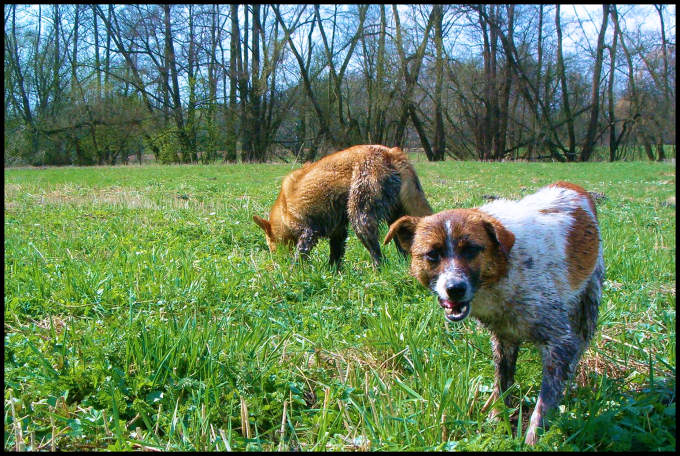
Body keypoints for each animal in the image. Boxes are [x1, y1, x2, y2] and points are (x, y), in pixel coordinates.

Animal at [252, 145, 432, 268]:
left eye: (271, 247)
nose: (276, 261)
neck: (283, 209)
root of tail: (391, 152)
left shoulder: (308, 233)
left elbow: (299, 258)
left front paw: (291, 272)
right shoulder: (338, 232)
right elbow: (335, 257)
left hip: (360, 219)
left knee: (379, 258)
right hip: (395, 221)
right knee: (401, 252)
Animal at [386, 182, 604, 446]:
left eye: (472, 250)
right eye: (432, 254)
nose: (455, 288)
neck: (505, 266)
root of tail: (571, 185)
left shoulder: (558, 342)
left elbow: (544, 402)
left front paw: (532, 440)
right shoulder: (503, 338)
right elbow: (503, 382)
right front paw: (498, 419)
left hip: (589, 303)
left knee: (580, 345)